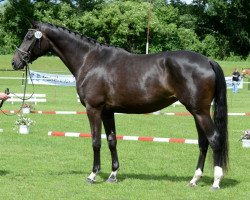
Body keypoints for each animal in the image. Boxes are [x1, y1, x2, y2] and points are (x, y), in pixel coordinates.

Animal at [12, 21, 229, 190]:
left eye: (30, 36)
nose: (15, 62)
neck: (90, 60)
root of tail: (208, 61)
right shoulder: (108, 112)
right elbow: (111, 141)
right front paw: (113, 175)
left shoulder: (94, 109)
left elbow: (96, 142)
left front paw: (93, 175)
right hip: (196, 111)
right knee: (203, 143)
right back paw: (194, 180)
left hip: (200, 111)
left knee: (214, 140)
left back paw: (216, 182)